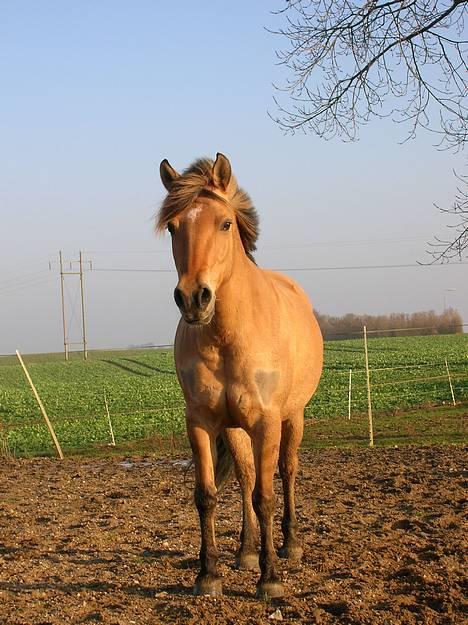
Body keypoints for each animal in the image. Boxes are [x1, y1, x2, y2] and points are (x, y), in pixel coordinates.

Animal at [156, 154, 322, 596]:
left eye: (225, 223)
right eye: (173, 227)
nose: (193, 298)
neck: (227, 336)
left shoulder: (267, 422)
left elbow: (267, 496)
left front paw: (271, 580)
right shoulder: (201, 421)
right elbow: (207, 495)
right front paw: (208, 574)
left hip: (292, 418)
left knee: (286, 472)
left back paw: (290, 545)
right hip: (234, 428)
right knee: (247, 478)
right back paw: (246, 553)